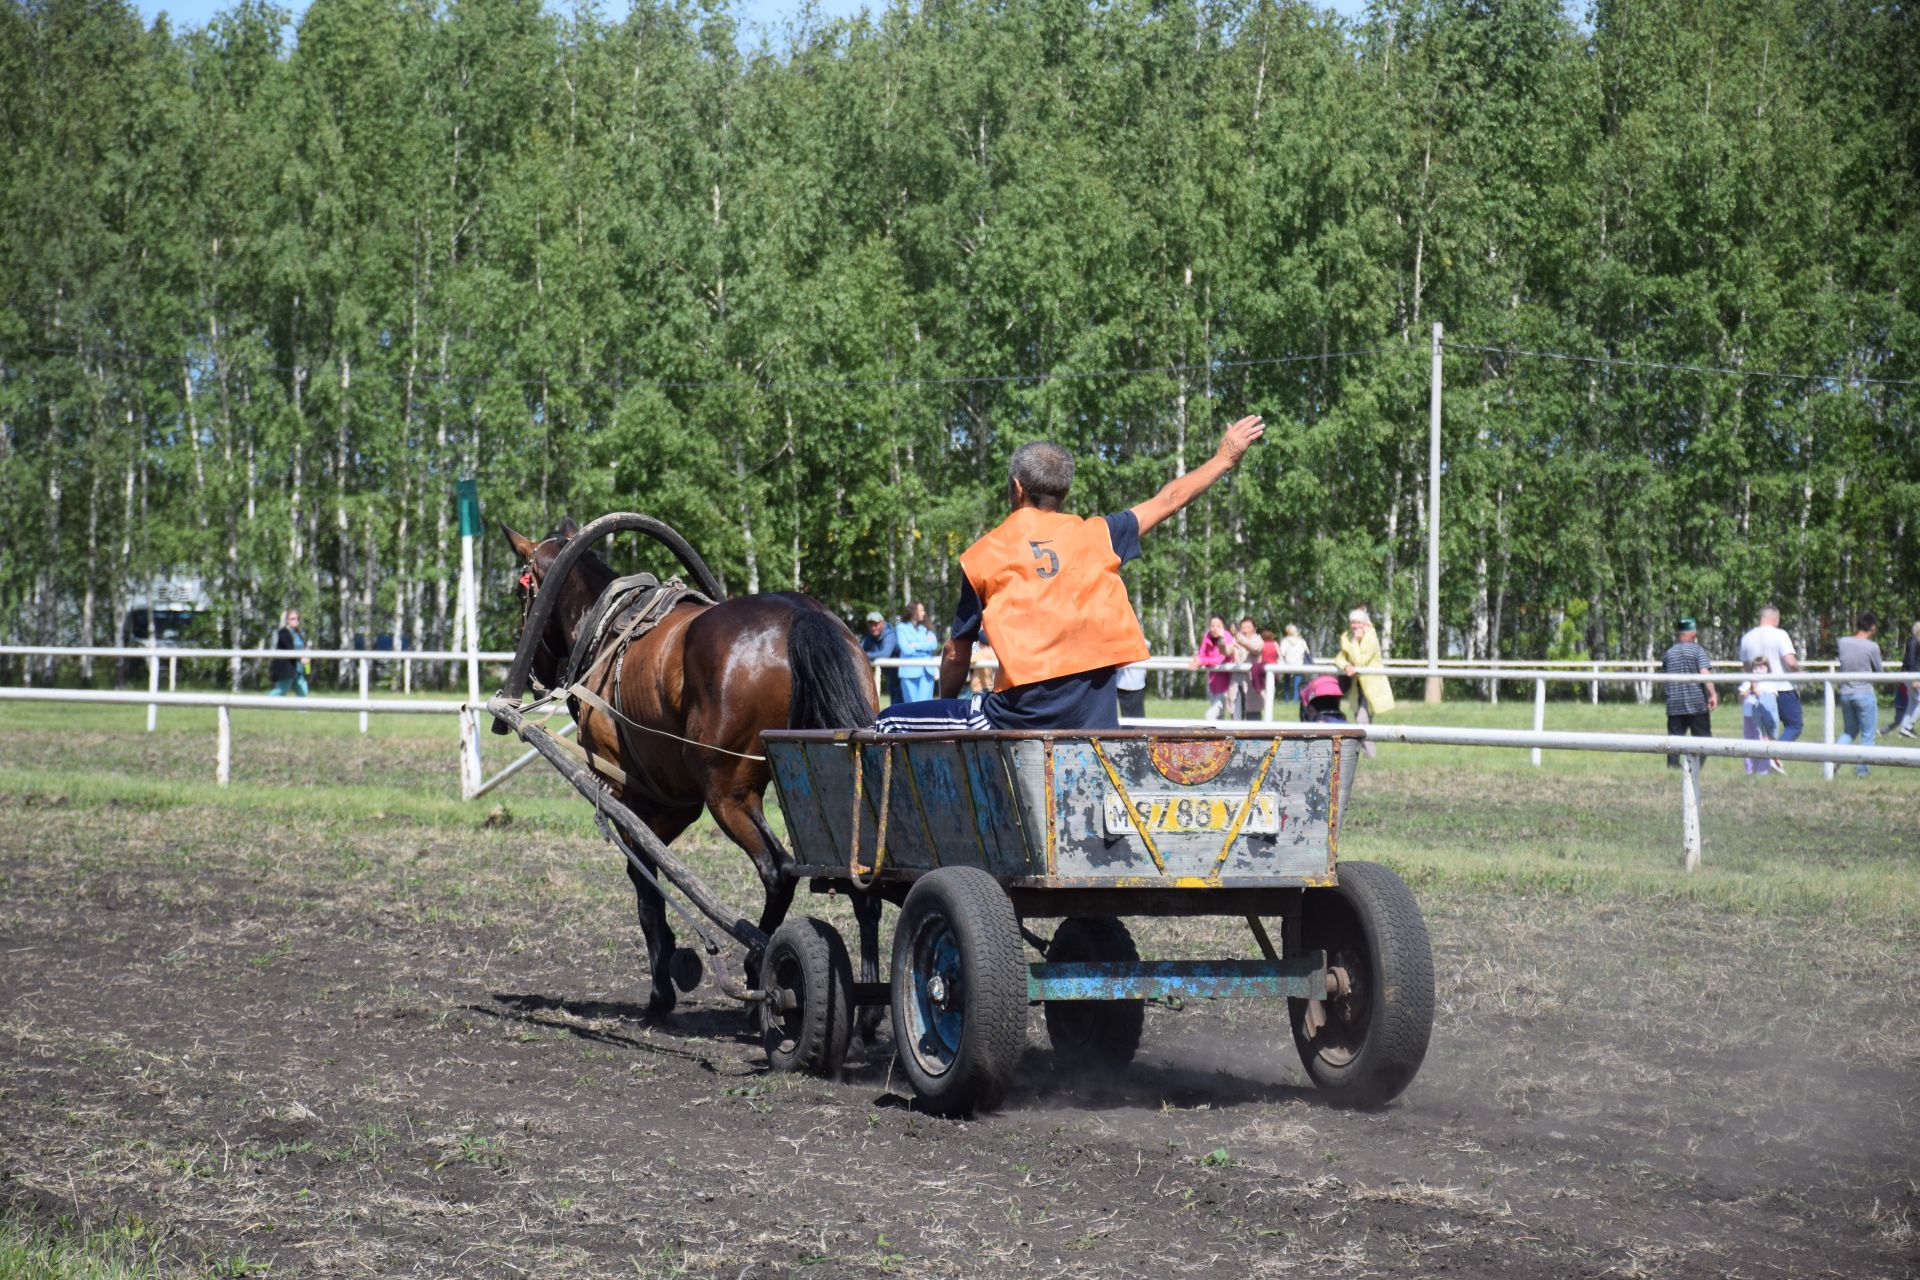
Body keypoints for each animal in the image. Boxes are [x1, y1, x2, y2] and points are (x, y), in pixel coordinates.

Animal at [503, 518, 879, 1020]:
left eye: (519, 592)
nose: (532, 675)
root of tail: (799, 614)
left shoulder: (627, 790)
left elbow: (645, 887)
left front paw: (660, 989)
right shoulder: (675, 803)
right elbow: (649, 872)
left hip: (729, 793)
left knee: (777, 871)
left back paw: (760, 971)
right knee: (861, 878)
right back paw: (870, 1005)